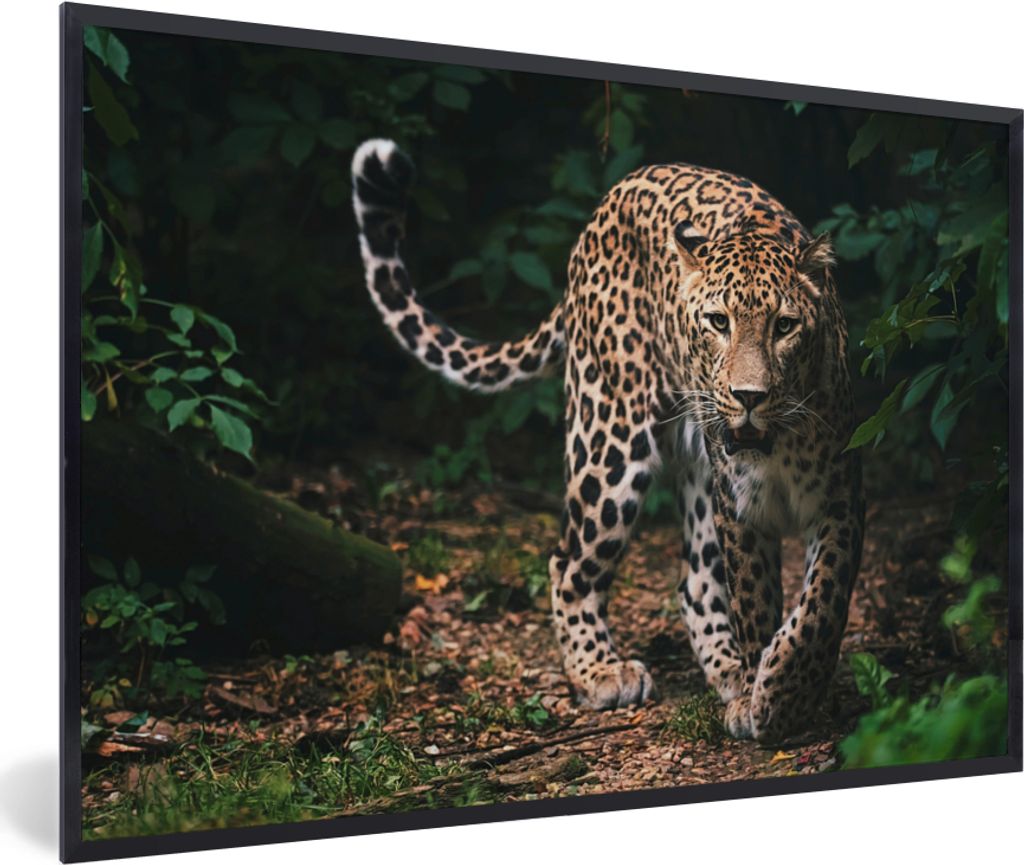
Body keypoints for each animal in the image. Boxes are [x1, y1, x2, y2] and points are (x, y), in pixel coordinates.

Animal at [350, 138, 864, 742]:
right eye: (718, 322)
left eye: (785, 326)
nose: (748, 396)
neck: (777, 444)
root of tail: (608, 200)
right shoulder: (739, 510)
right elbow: (757, 604)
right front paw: (767, 699)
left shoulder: (840, 497)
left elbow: (822, 606)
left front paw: (783, 691)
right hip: (611, 439)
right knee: (568, 562)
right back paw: (601, 672)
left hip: (693, 468)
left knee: (694, 580)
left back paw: (727, 674)